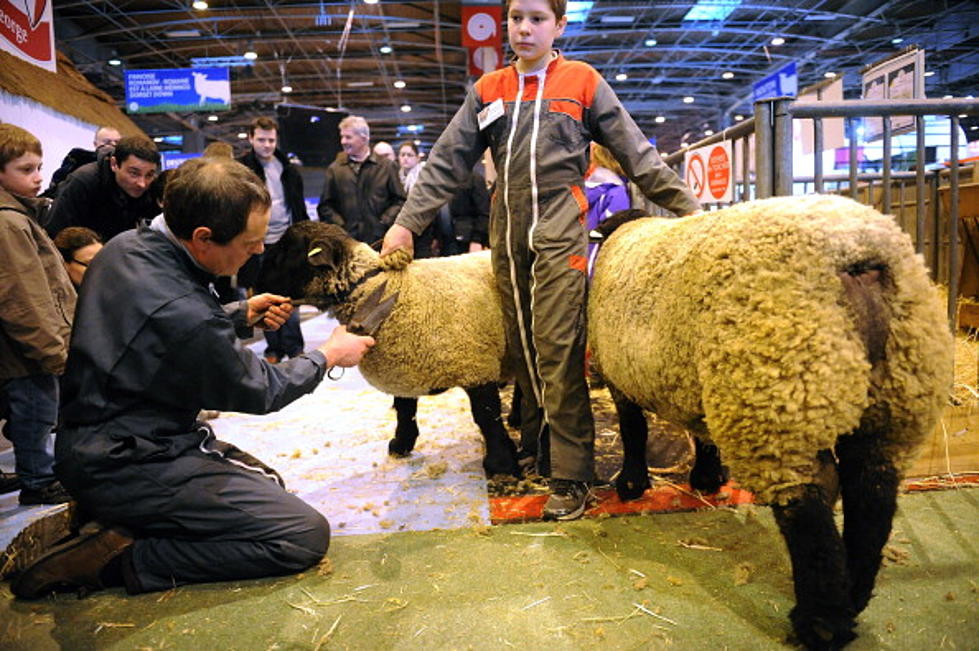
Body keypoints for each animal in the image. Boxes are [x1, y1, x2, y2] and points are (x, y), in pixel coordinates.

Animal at [258, 222, 520, 476]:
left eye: (287, 251)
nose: (253, 283)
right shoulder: (404, 366)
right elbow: (404, 410)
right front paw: (401, 445)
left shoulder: (476, 368)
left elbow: (487, 416)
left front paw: (501, 463)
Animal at [584, 196, 952, 648]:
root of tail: (856, 253)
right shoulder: (693, 379)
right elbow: (701, 434)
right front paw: (707, 478)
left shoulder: (620, 377)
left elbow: (633, 431)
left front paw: (632, 484)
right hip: (897, 398)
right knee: (871, 494)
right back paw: (854, 596)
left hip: (777, 392)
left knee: (808, 506)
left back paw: (821, 622)